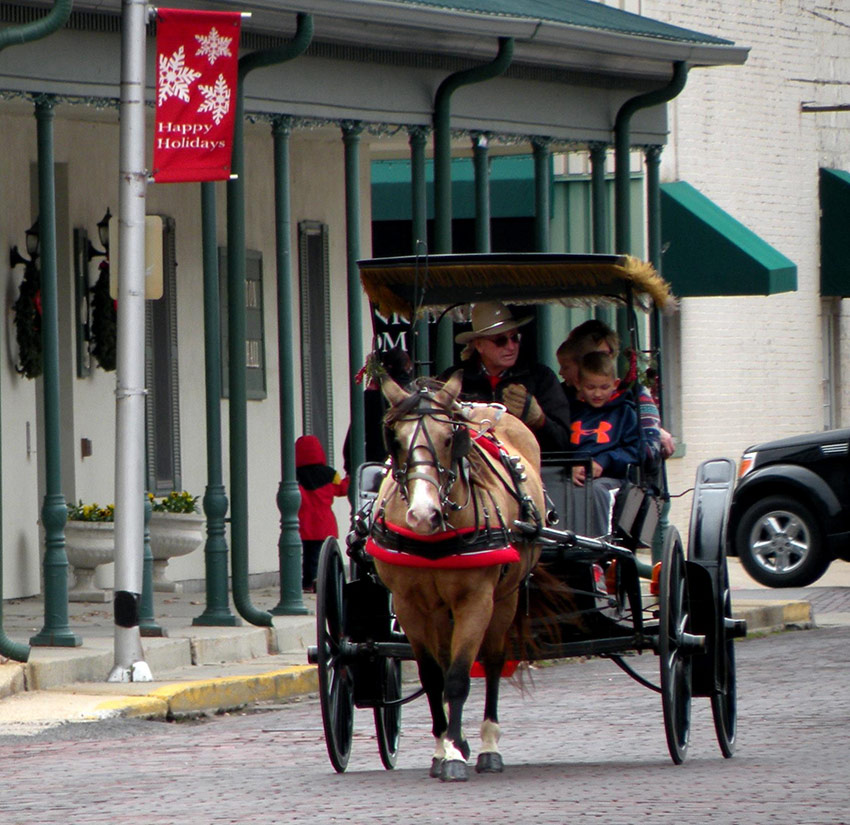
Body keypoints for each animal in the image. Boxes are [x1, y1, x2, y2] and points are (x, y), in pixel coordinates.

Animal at [367, 371, 545, 782]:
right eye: (396, 440)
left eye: (450, 438)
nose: (422, 514)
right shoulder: (410, 605)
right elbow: (435, 676)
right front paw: (443, 746)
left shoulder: (475, 600)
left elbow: (460, 677)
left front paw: (453, 753)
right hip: (439, 611)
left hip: (505, 599)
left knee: (493, 662)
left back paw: (487, 745)